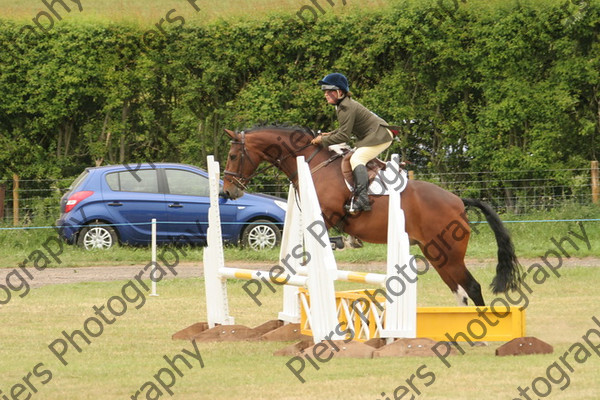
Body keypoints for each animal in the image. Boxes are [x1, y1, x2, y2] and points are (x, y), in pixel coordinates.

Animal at [220, 125, 520, 306]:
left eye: (233, 155)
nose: (227, 191)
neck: (314, 165)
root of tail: (458, 202)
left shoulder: (326, 217)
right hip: (437, 254)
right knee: (460, 291)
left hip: (450, 255)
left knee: (472, 287)